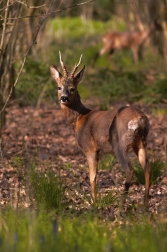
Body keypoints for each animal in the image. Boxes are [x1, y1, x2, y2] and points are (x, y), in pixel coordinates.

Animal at [50, 52, 151, 209]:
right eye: (59, 87)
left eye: (72, 88)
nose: (64, 98)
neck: (80, 118)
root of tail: (140, 119)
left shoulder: (90, 148)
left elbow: (93, 177)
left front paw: (94, 204)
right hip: (141, 142)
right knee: (147, 168)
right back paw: (145, 205)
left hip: (119, 144)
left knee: (130, 169)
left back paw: (121, 205)